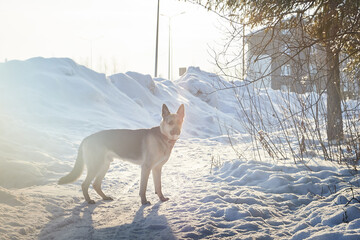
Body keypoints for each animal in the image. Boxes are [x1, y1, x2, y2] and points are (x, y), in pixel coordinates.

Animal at [58, 103, 186, 204]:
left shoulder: (157, 168)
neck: (163, 137)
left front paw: (161, 199)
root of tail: (86, 138)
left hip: (104, 165)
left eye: (179, 122)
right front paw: (144, 201)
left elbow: (158, 186)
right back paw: (89, 200)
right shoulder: (146, 167)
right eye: (170, 122)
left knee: (96, 184)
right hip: (96, 166)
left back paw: (105, 197)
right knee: (85, 184)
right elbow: (143, 188)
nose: (177, 131)